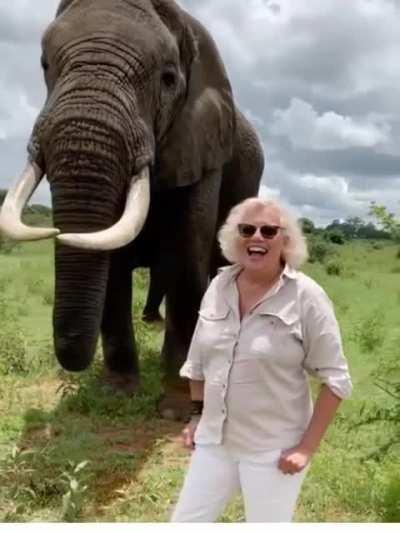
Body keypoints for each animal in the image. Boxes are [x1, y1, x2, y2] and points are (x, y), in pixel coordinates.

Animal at [0, 0, 264, 420]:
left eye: (168, 79)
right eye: (44, 64)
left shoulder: (204, 147)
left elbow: (187, 250)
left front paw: (178, 404)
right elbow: (111, 258)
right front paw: (117, 393)